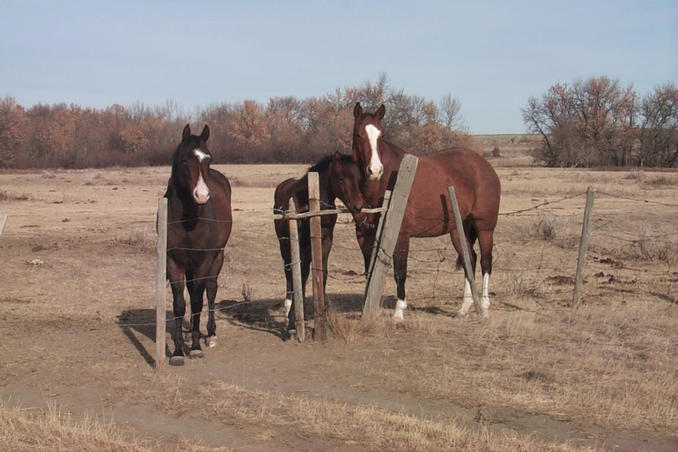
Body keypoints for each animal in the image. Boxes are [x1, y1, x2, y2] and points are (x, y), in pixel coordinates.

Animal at [165, 124, 234, 368]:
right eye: (185, 160)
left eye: (208, 158)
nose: (202, 195)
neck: (188, 220)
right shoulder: (174, 263)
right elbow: (179, 304)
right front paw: (177, 351)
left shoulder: (203, 261)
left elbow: (196, 301)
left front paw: (194, 347)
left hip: (217, 258)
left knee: (210, 291)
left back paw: (210, 334)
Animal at [274, 151, 366, 332]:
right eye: (340, 179)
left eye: (359, 178)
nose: (358, 206)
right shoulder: (299, 243)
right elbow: (300, 275)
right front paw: (293, 321)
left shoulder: (325, 241)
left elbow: (321, 273)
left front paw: (321, 316)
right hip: (285, 245)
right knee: (289, 272)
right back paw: (288, 310)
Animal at [354, 104, 502, 320]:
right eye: (358, 135)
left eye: (380, 136)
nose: (375, 170)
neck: (390, 180)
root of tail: (484, 165)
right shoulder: (368, 235)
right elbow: (369, 271)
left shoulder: (401, 235)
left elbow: (400, 271)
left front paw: (399, 311)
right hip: (458, 230)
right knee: (470, 260)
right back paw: (464, 307)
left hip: (485, 228)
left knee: (485, 261)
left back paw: (484, 306)